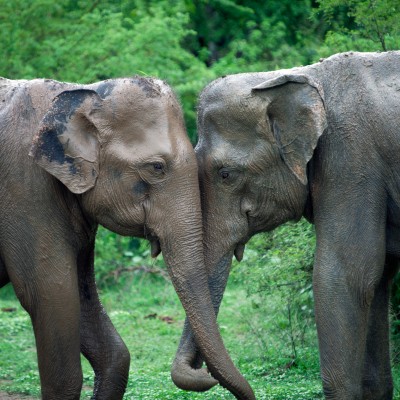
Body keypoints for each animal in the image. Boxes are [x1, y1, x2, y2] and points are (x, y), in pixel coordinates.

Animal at [0, 76, 254, 400]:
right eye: (157, 167)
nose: (205, 375)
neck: (78, 93)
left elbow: (89, 312)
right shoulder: (25, 189)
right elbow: (50, 292)